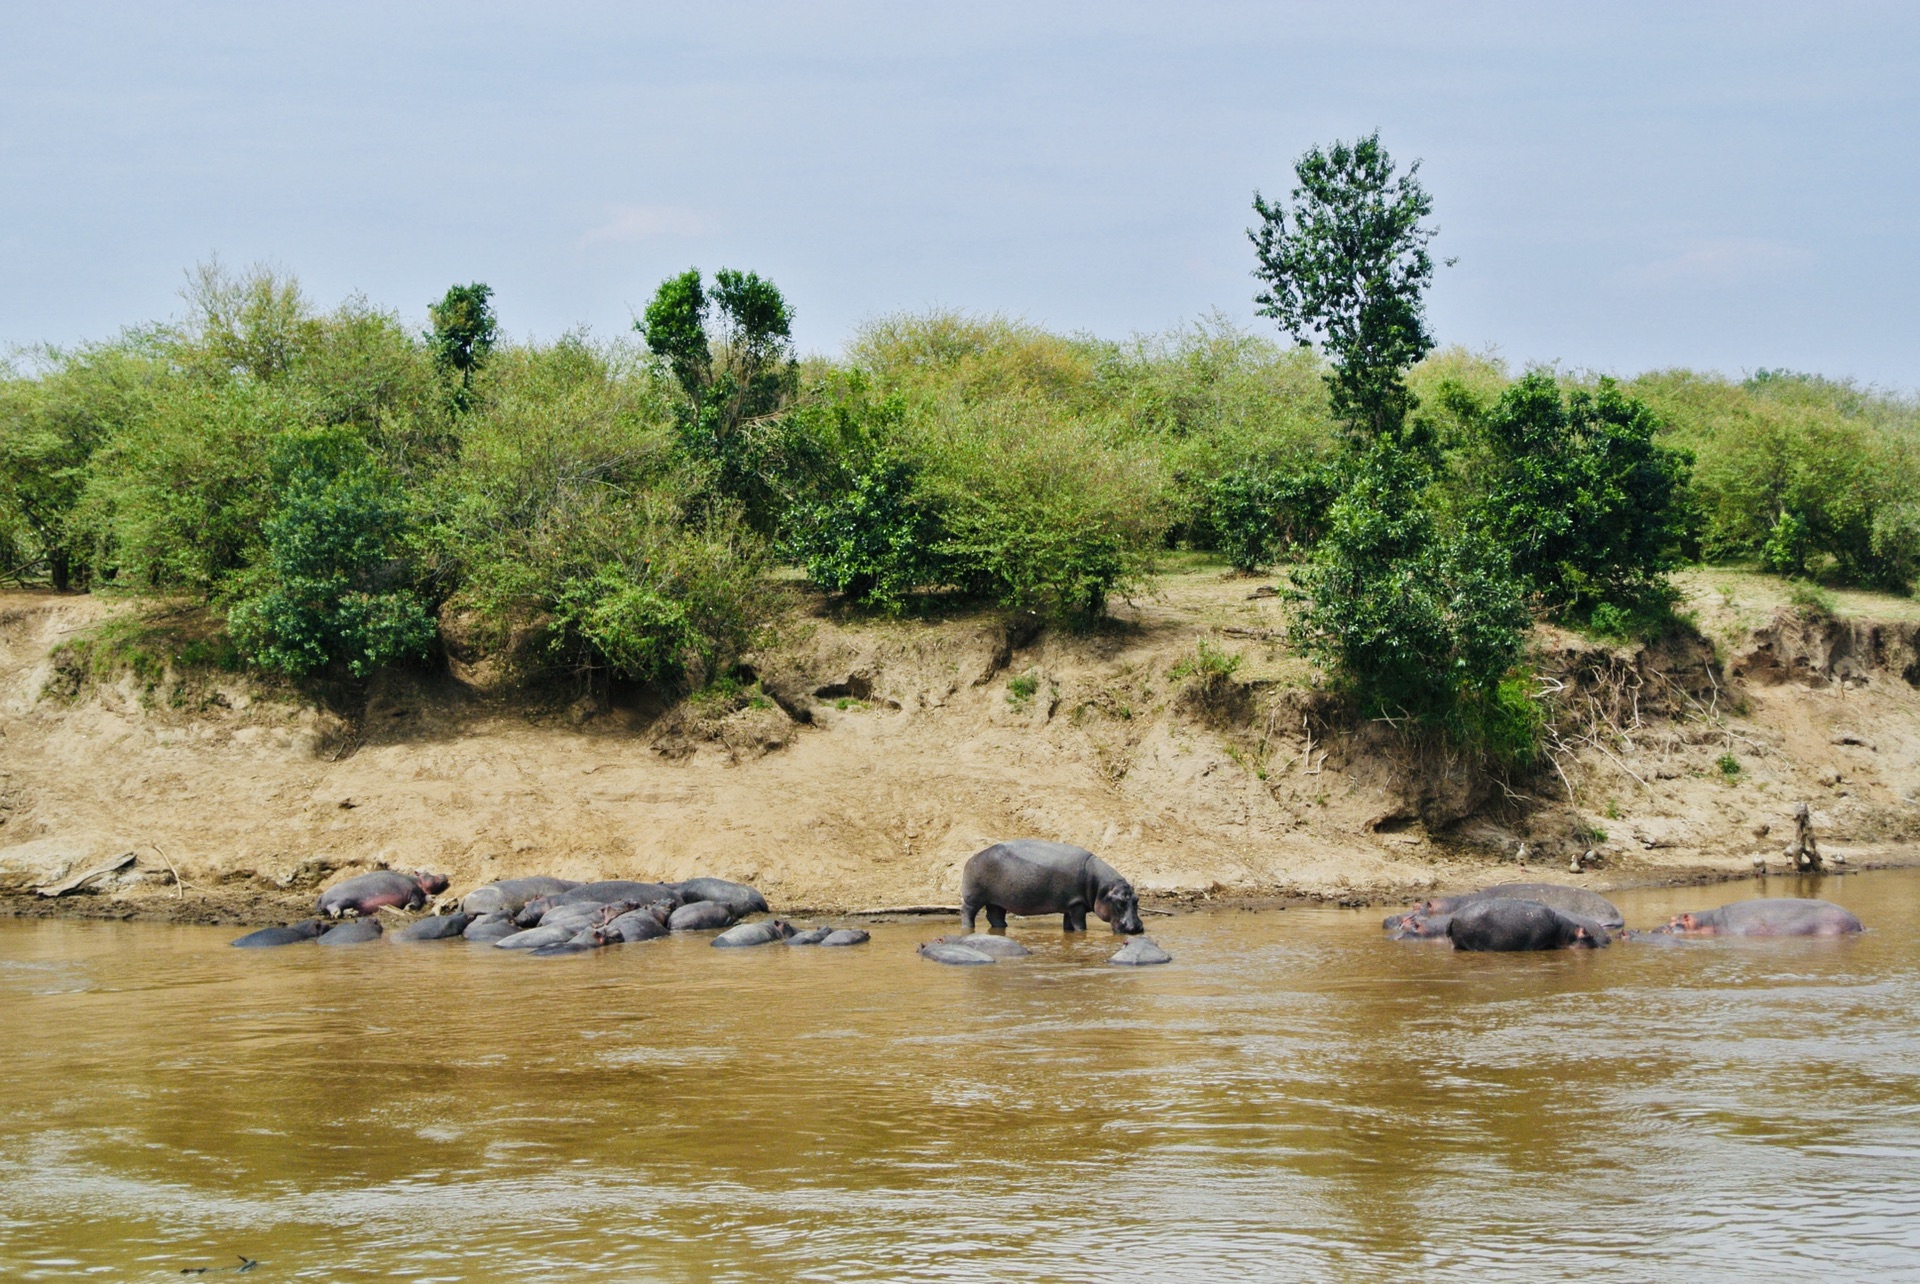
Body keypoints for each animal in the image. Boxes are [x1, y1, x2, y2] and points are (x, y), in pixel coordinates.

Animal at [314, 867, 449, 917]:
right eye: (429, 873)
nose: (444, 874)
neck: (417, 881)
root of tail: (322, 894)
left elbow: (424, 898)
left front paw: (432, 898)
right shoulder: (412, 892)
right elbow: (415, 902)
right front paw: (408, 908)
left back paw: (353, 912)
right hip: (343, 899)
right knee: (334, 906)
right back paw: (336, 914)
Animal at [956, 840, 1136, 932]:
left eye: (1136, 899)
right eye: (1119, 902)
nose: (1137, 928)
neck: (1101, 888)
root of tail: (973, 857)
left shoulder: (1070, 905)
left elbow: (1068, 925)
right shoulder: (1077, 906)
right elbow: (1080, 926)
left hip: (997, 901)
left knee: (995, 916)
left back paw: (1003, 927)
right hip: (973, 899)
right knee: (967, 913)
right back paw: (968, 928)